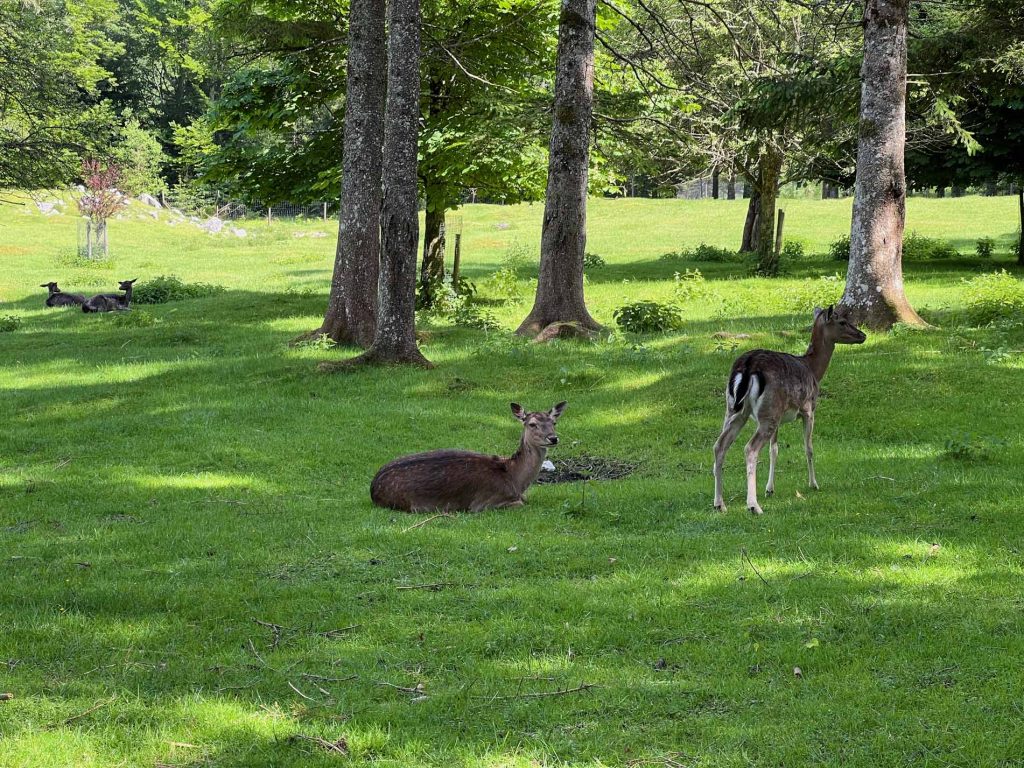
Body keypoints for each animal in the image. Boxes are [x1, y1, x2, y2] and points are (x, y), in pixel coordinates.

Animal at [368, 403, 569, 512]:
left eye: (554, 422)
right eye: (532, 424)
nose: (553, 438)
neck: (514, 479)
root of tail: (373, 488)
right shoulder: (484, 503)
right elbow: (521, 503)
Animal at [712, 307, 864, 518]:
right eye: (842, 321)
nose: (862, 335)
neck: (814, 370)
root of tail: (748, 366)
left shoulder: (780, 416)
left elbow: (774, 450)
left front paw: (770, 489)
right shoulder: (808, 409)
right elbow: (809, 448)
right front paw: (814, 484)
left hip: (737, 410)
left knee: (719, 445)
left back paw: (720, 504)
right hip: (768, 413)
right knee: (750, 448)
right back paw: (753, 506)